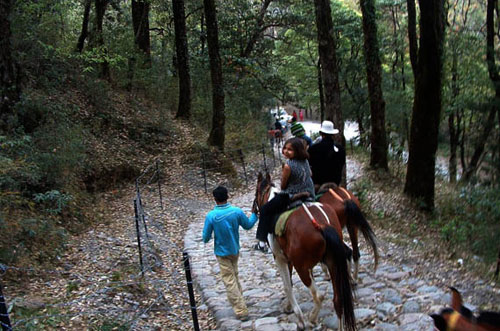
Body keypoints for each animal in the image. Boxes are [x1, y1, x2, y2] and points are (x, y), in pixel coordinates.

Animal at [254, 172, 356, 330]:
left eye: (256, 192)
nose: (254, 210)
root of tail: (321, 224)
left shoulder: (280, 258)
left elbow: (287, 285)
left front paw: (298, 316)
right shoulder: (290, 259)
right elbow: (289, 281)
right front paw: (289, 306)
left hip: (301, 268)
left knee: (319, 296)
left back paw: (310, 319)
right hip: (333, 263)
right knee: (338, 300)